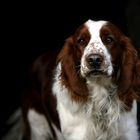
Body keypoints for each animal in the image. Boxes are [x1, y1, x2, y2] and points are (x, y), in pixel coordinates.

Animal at [4, 18, 140, 140]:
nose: (94, 59)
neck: (99, 95)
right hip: (37, 125)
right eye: (81, 41)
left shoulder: (129, 133)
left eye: (109, 39)